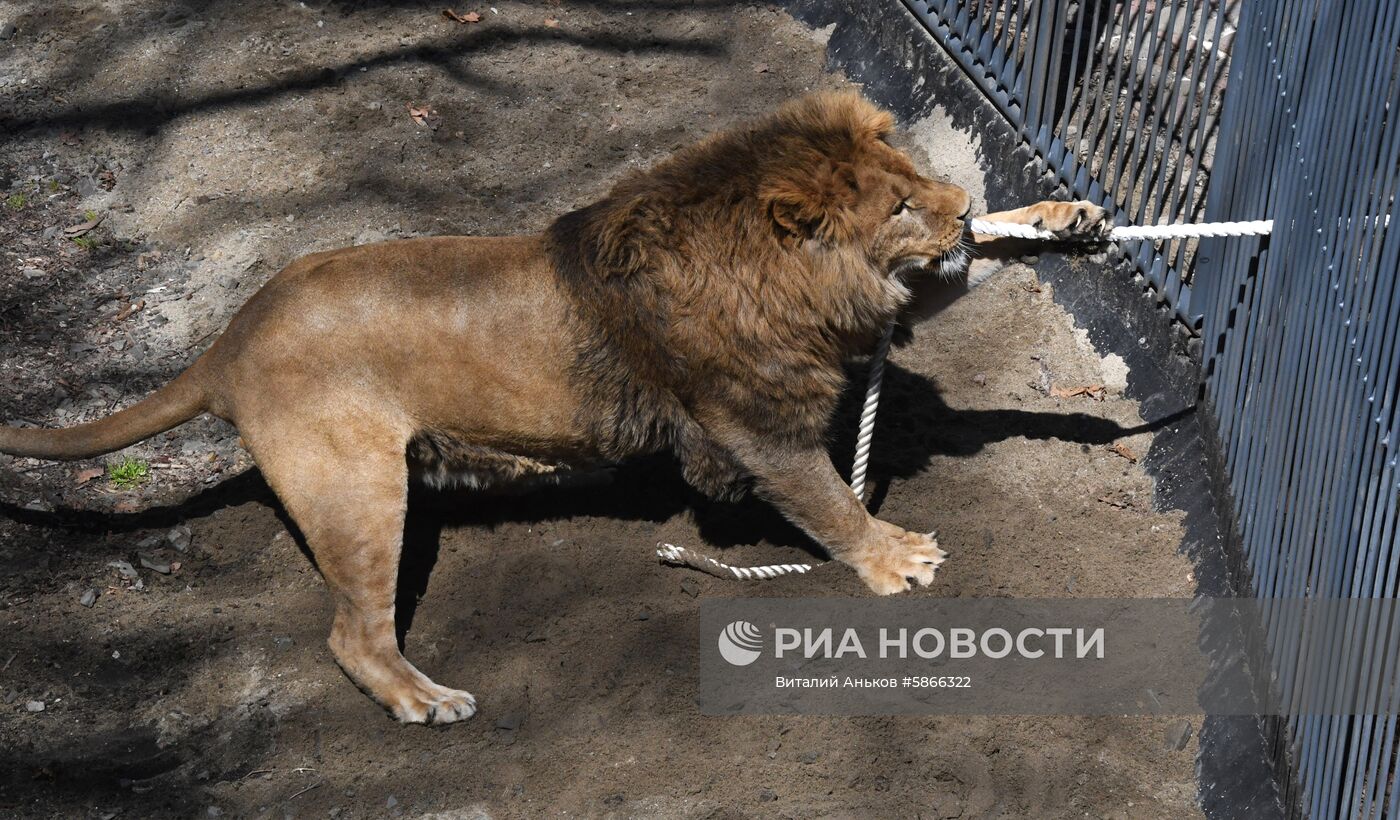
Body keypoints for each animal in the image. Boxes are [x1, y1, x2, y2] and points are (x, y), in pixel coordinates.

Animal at [0, 92, 1103, 716]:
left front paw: (1059, 217)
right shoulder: (752, 418)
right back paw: (427, 701)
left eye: (916, 176)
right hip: (356, 492)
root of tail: (229, 336)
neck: (781, 273)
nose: (958, 206)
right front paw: (891, 557)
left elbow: (973, 269)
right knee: (352, 636)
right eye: (902, 205)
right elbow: (828, 501)